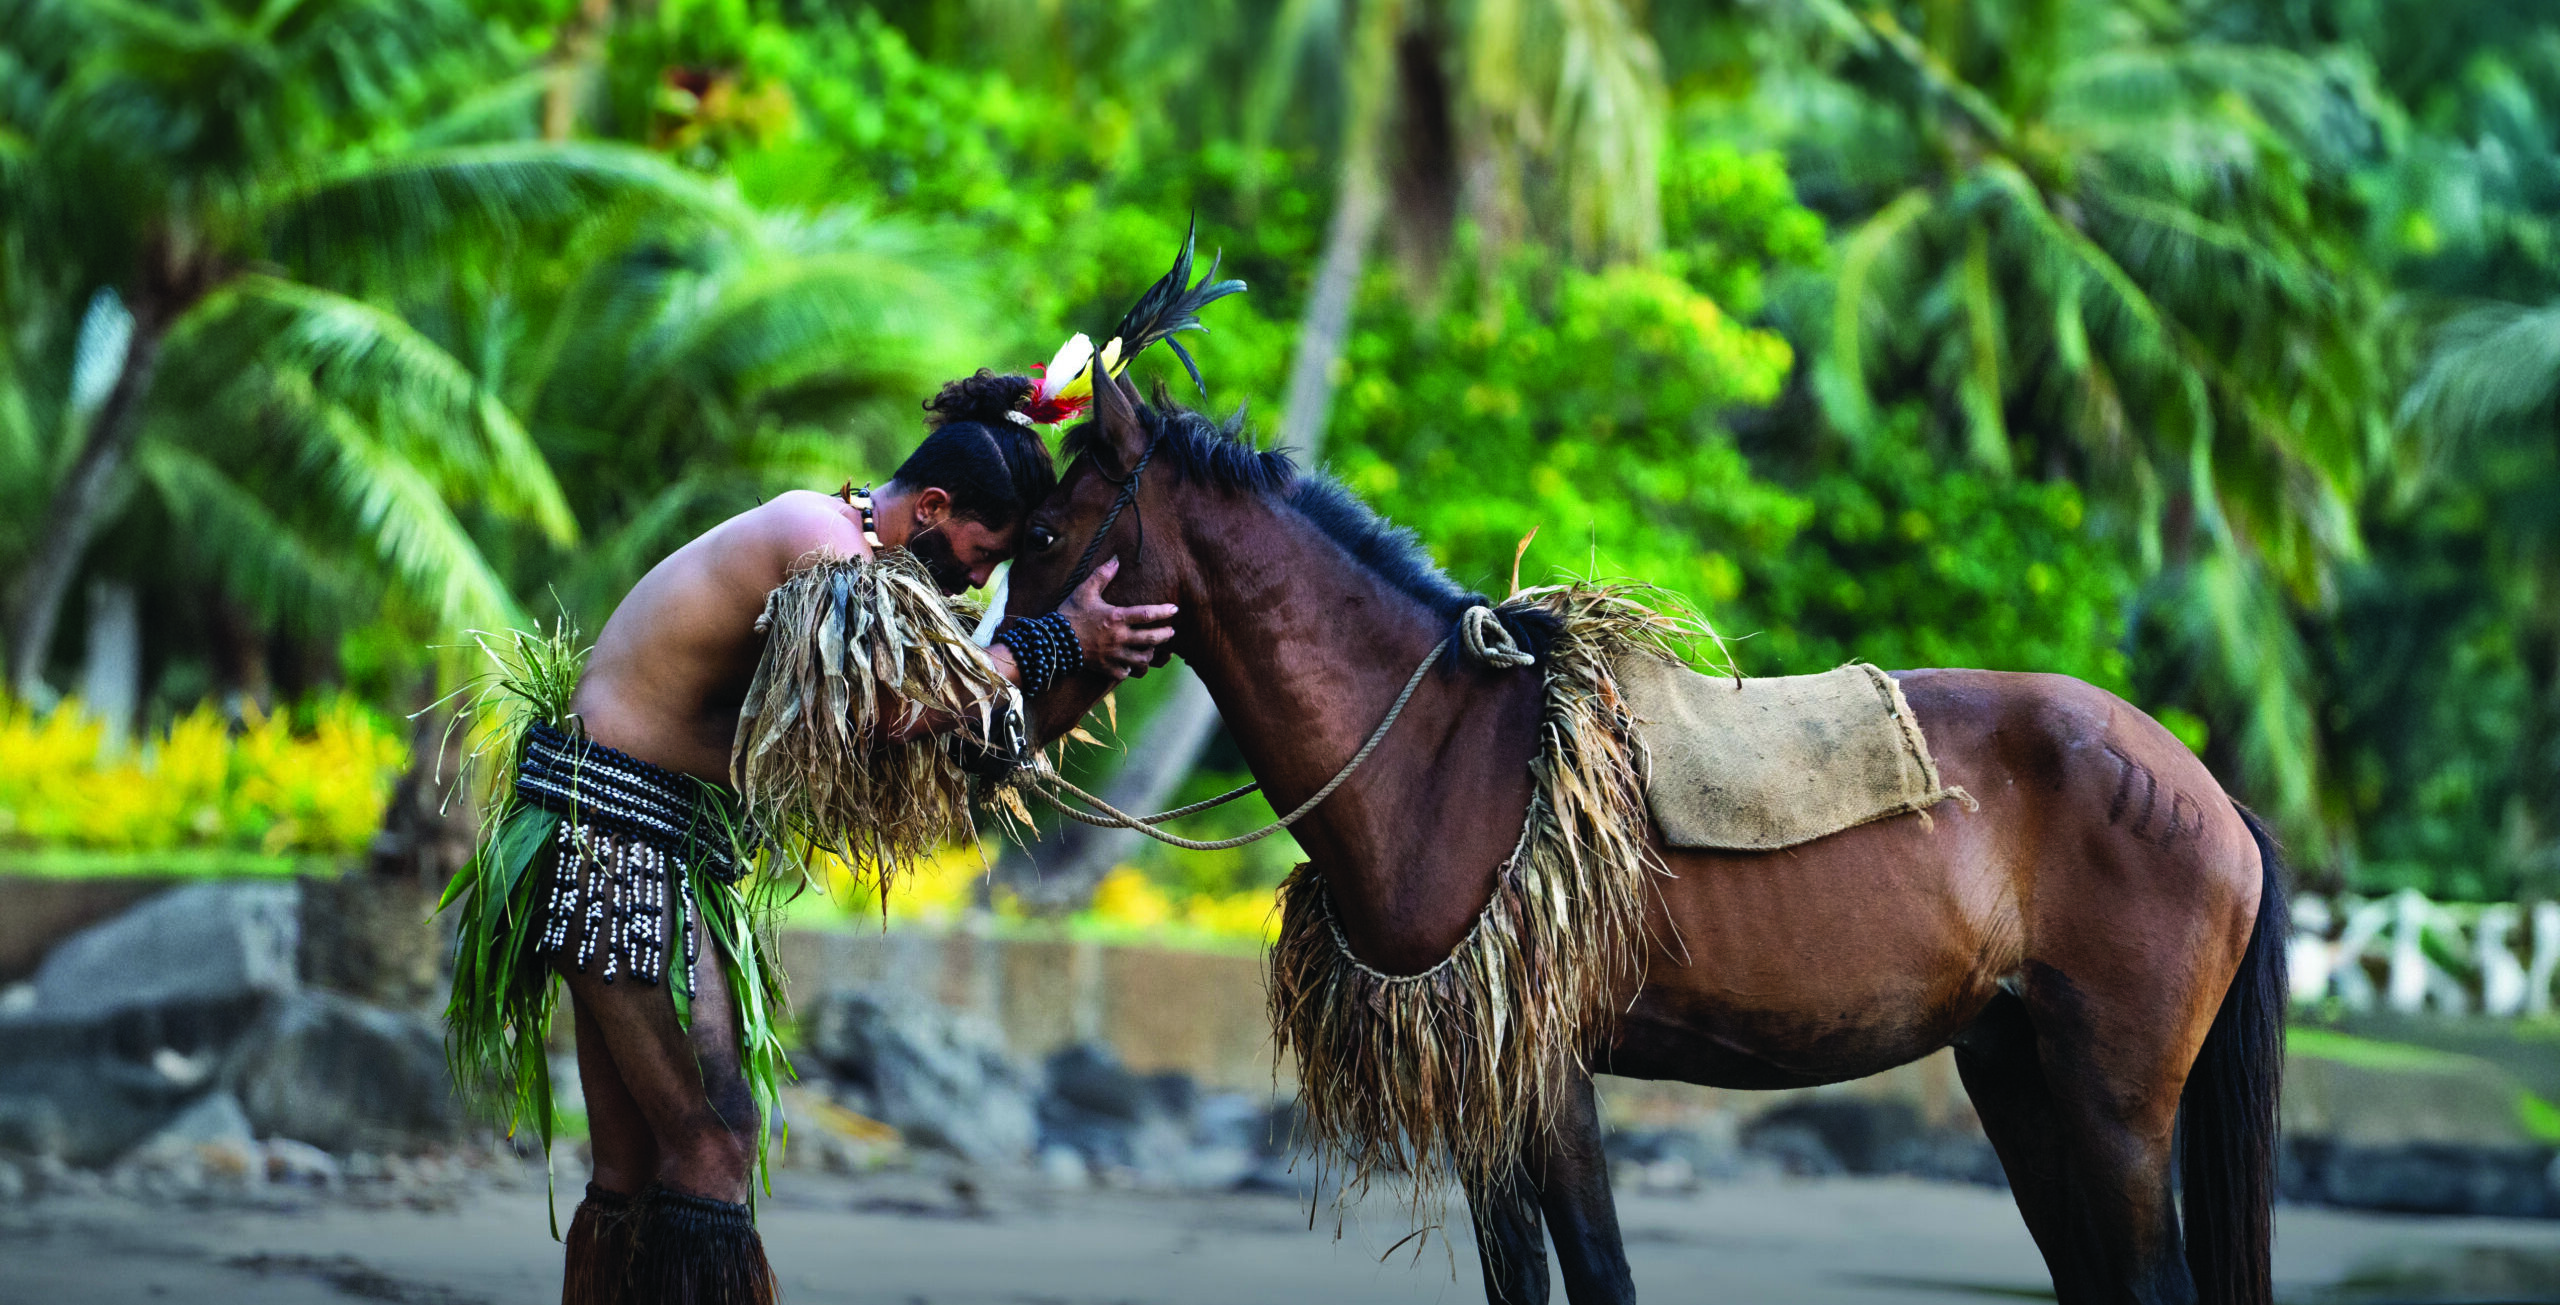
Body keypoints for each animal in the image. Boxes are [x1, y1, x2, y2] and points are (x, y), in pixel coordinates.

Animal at [1000, 374, 2285, 1305]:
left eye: (1052, 529)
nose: (996, 713)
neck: (1442, 749)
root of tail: (2208, 794)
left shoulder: (1551, 1079)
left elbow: (1602, 1278)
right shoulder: (1488, 1092)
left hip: (2116, 1103)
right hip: (2017, 1071)